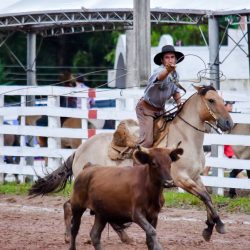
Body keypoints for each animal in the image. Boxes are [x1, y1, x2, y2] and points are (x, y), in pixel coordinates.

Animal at [29, 84, 234, 242]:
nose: (228, 123)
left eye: (221, 99)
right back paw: (72, 237)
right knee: (69, 206)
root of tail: (79, 150)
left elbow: (207, 197)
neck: (186, 138)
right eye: (211, 100)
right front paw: (219, 225)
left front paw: (209, 228)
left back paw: (123, 236)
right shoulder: (181, 179)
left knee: (77, 207)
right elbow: (205, 197)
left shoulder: (195, 177)